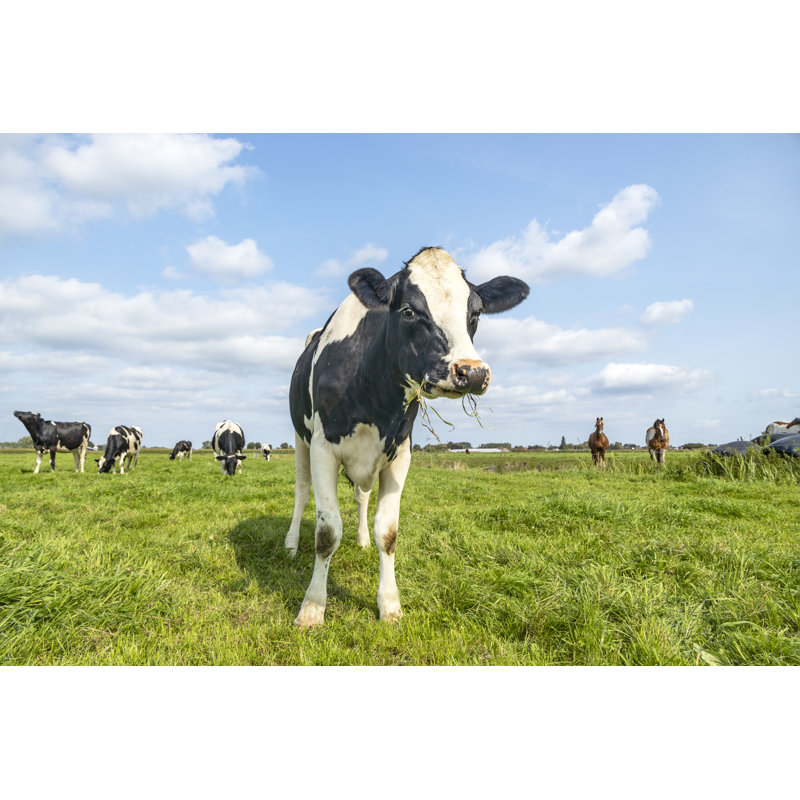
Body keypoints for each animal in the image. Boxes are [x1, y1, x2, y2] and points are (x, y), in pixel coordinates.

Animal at [284, 246, 529, 627]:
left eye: (475, 313)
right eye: (409, 311)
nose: (472, 373)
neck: (372, 393)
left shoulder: (399, 452)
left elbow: (388, 532)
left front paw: (389, 604)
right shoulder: (324, 448)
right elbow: (326, 533)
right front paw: (312, 608)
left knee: (361, 496)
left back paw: (361, 539)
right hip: (300, 439)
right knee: (301, 491)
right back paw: (292, 544)